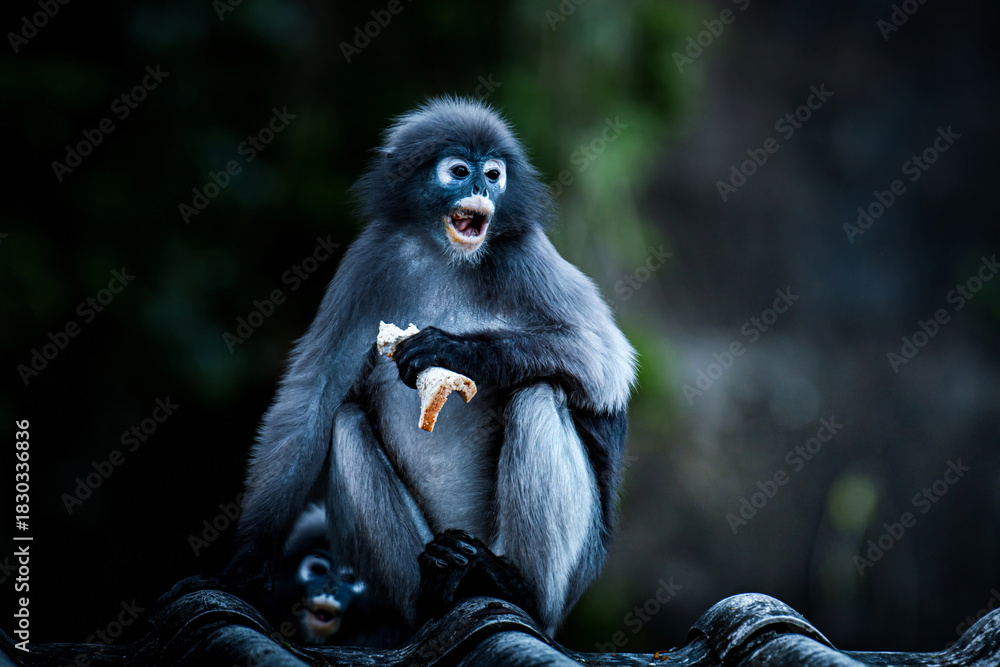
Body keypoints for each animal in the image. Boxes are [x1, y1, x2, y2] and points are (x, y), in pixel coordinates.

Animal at [227, 96, 637, 635]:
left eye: (493, 174)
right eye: (460, 172)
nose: (482, 188)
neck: (445, 255)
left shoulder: (523, 250)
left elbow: (605, 360)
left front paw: (453, 352)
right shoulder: (369, 260)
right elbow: (311, 399)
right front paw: (250, 560)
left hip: (568, 574)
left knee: (538, 391)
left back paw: (512, 586)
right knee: (347, 420)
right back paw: (435, 590)